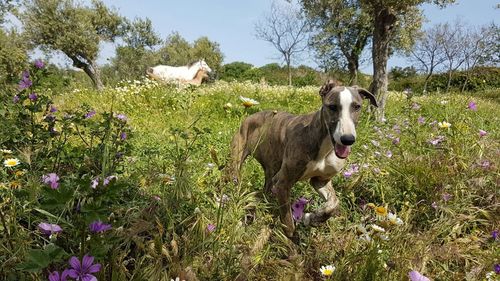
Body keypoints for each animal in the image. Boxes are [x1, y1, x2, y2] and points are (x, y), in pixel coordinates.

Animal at [229, 80, 376, 237]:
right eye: (332, 107)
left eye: (357, 106)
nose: (348, 139)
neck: (323, 144)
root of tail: (249, 116)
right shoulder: (283, 183)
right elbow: (288, 223)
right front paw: (292, 238)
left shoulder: (320, 180)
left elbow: (333, 204)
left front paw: (313, 217)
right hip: (236, 164)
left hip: (271, 169)